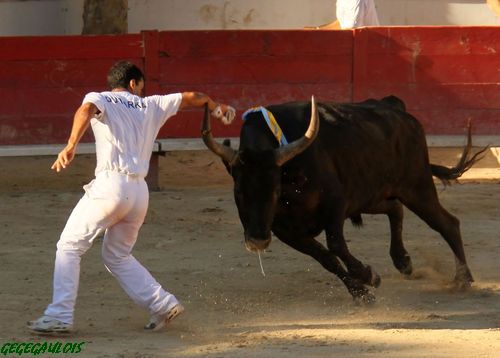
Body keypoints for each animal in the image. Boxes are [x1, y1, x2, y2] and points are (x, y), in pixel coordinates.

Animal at [201, 96, 486, 302]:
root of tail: (396, 108)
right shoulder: (285, 231)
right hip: (372, 195)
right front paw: (361, 292)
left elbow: (336, 245)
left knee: (447, 223)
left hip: (417, 187)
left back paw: (463, 279)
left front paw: (369, 276)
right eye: (239, 192)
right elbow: (326, 259)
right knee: (395, 209)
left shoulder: (335, 205)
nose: (257, 241)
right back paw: (403, 261)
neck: (290, 172)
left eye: (274, 190)